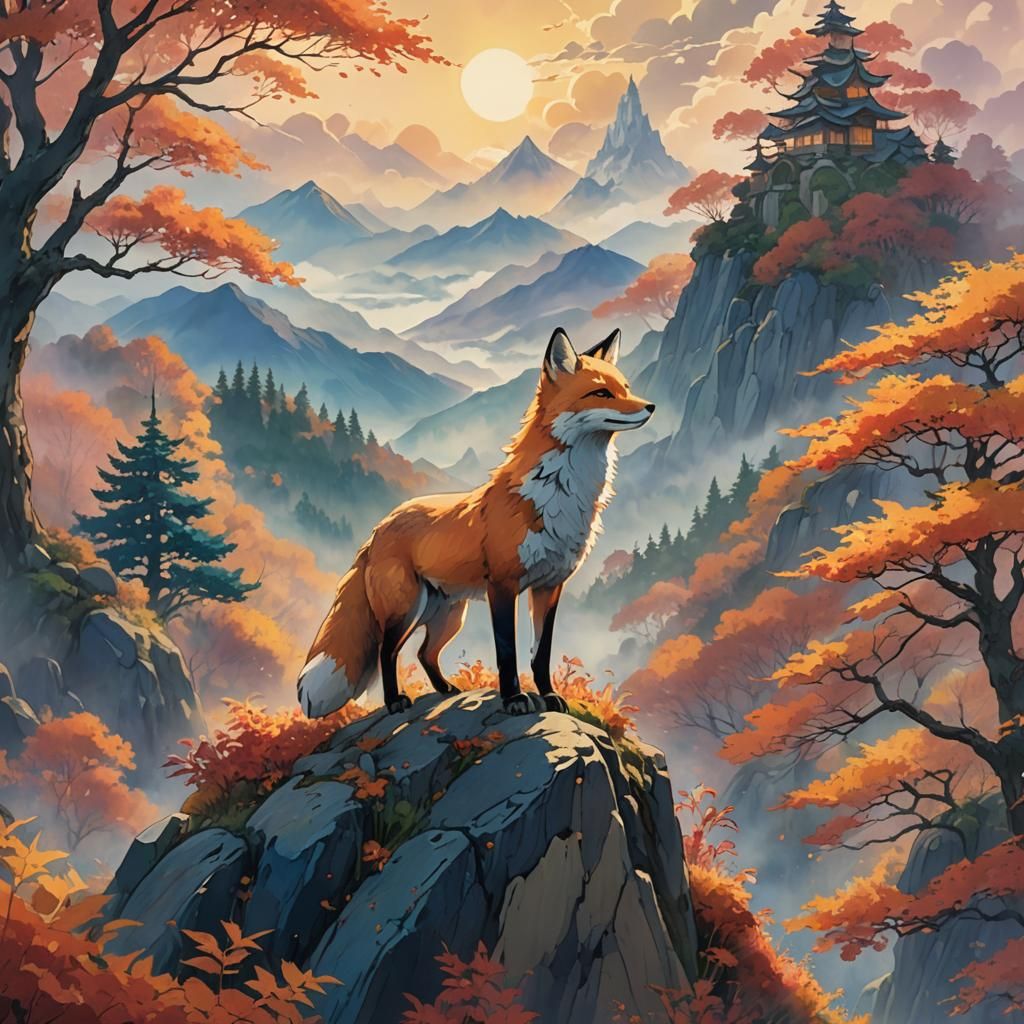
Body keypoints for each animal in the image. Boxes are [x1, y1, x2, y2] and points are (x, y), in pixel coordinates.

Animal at [298, 326, 655, 717]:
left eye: (626, 388)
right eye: (602, 393)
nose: (651, 407)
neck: (559, 494)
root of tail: (380, 526)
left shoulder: (549, 586)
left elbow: (540, 654)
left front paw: (548, 696)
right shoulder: (503, 585)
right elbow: (507, 653)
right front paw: (514, 700)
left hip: (449, 616)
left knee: (424, 653)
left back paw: (446, 690)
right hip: (406, 609)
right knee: (386, 651)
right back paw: (395, 702)